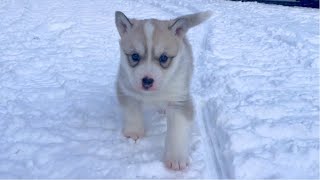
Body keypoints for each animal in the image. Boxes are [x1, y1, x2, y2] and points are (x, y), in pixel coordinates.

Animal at [115, 10, 212, 170]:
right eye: (134, 56)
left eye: (164, 58)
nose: (147, 81)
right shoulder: (126, 89)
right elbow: (132, 112)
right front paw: (133, 132)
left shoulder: (179, 100)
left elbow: (177, 131)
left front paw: (176, 159)